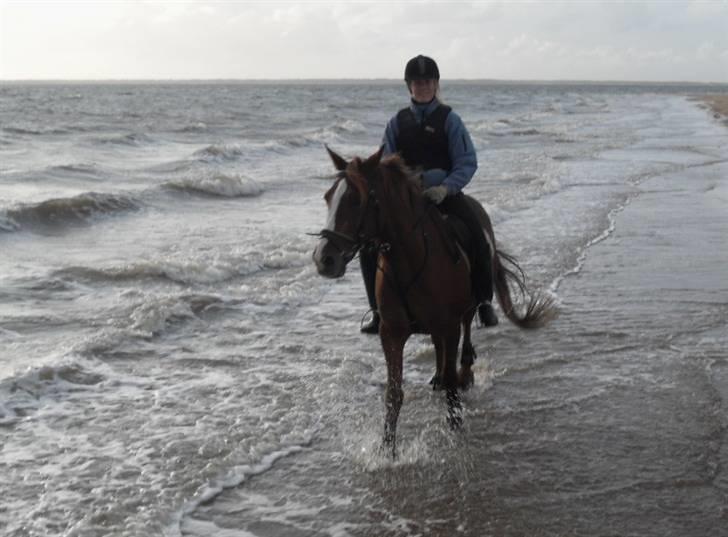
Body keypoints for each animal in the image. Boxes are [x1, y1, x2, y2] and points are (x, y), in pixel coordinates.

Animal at [310, 147, 556, 456]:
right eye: (328, 196)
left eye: (358, 199)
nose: (324, 259)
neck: (409, 260)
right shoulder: (391, 332)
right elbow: (393, 392)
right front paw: (387, 450)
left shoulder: (449, 325)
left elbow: (452, 379)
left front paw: (455, 428)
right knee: (439, 347)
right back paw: (437, 376)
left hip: (466, 309)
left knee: (467, 332)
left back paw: (466, 370)